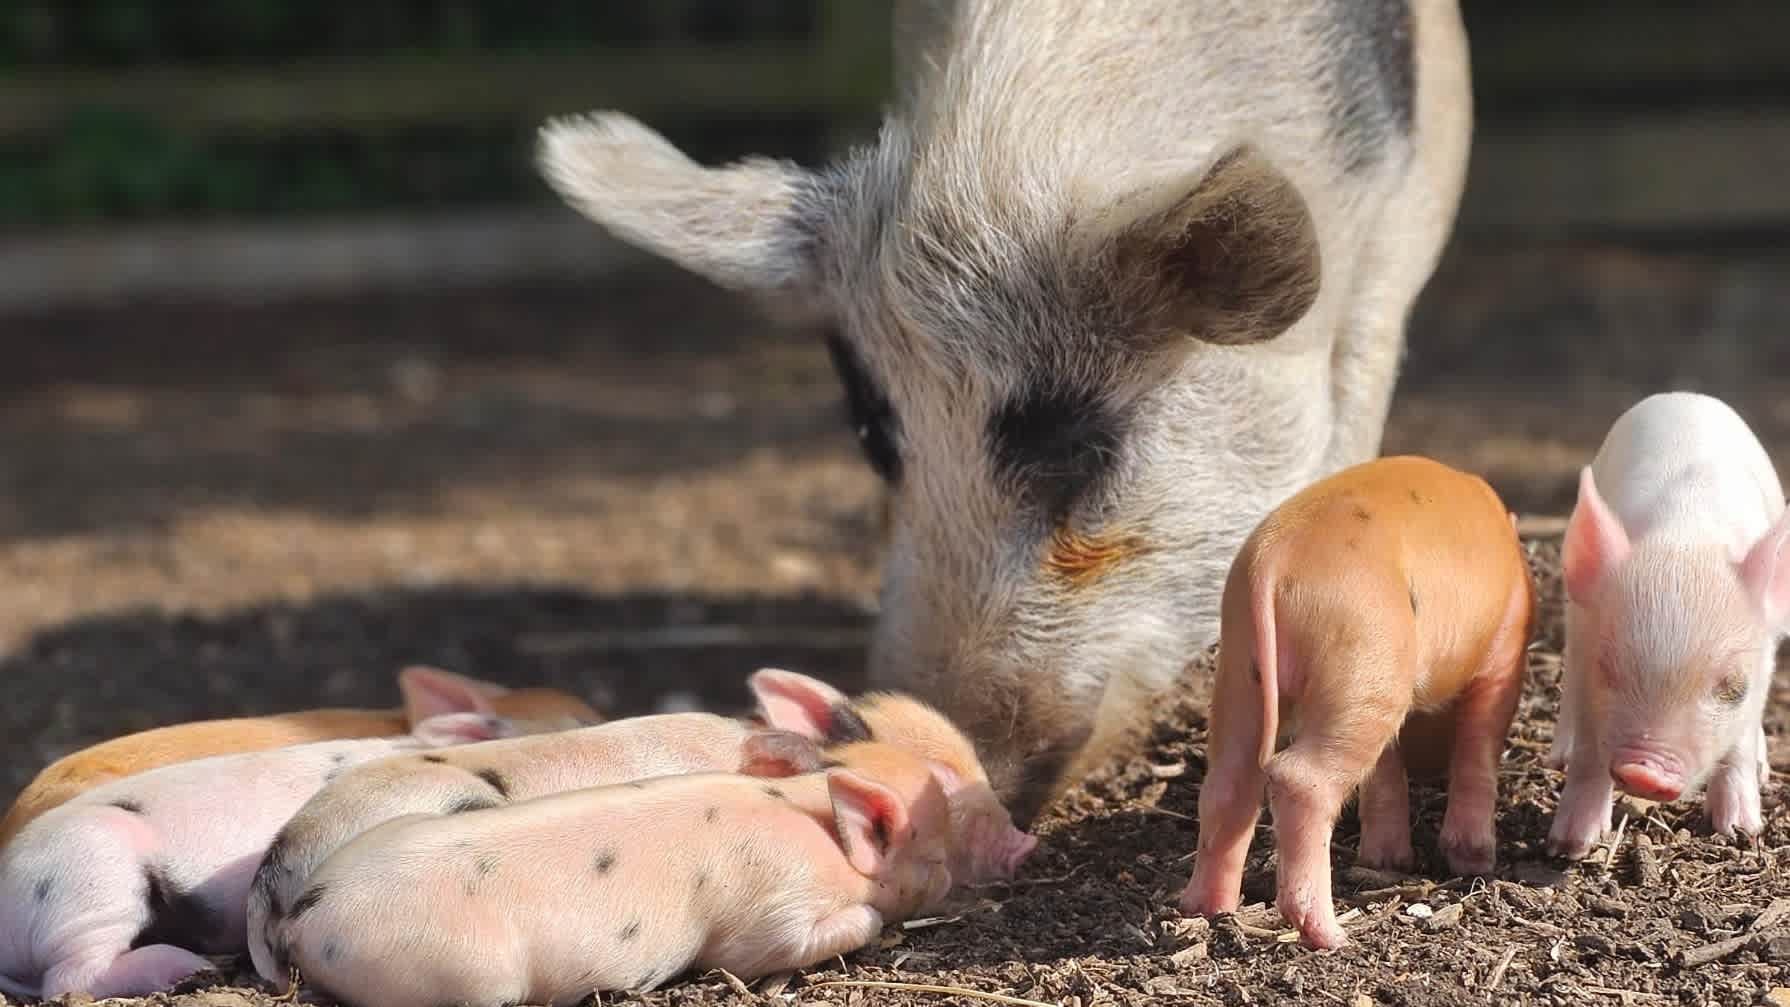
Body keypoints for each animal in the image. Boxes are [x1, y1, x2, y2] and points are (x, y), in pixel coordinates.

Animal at [271, 742, 954, 1006]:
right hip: (465, 973)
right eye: (936, 852)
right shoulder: (769, 914)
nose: (954, 883)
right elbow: (837, 926)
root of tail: (306, 915)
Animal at [1178, 456, 1534, 948]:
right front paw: (1474, 862)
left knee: (1229, 784)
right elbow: (1479, 747)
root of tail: (1273, 561)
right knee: (1298, 780)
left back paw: (1208, 910)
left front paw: (1386, 862)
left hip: (1246, 670)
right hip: (1363, 654)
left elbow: (1384, 773)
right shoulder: (1504, 652)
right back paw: (1332, 937)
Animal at [1546, 392, 1789, 859]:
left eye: (1734, 688)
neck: (1687, 535)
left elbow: (1739, 744)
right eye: (1606, 668)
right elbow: (1588, 750)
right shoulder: (1585, 639)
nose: (1646, 772)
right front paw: (1569, 845)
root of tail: (1688, 396)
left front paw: (1741, 830)